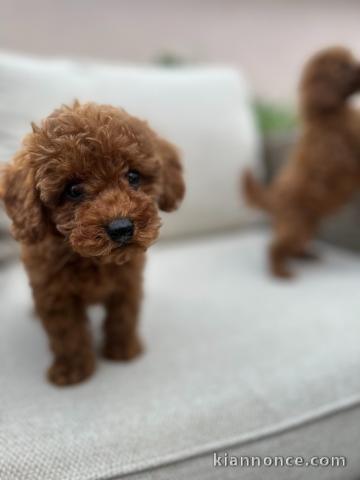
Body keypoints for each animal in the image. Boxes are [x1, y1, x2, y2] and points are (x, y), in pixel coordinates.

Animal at [0, 102, 186, 386]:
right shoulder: (54, 293)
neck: (92, 259)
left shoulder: (128, 281)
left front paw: (123, 350)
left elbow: (123, 315)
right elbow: (67, 332)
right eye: (73, 190)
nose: (121, 228)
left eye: (133, 176)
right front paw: (73, 371)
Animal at [243, 46, 360, 278]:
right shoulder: (345, 158)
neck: (329, 115)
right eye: (343, 66)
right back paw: (280, 272)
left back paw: (305, 255)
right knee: (275, 247)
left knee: (294, 247)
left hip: (309, 225)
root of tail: (273, 197)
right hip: (295, 226)